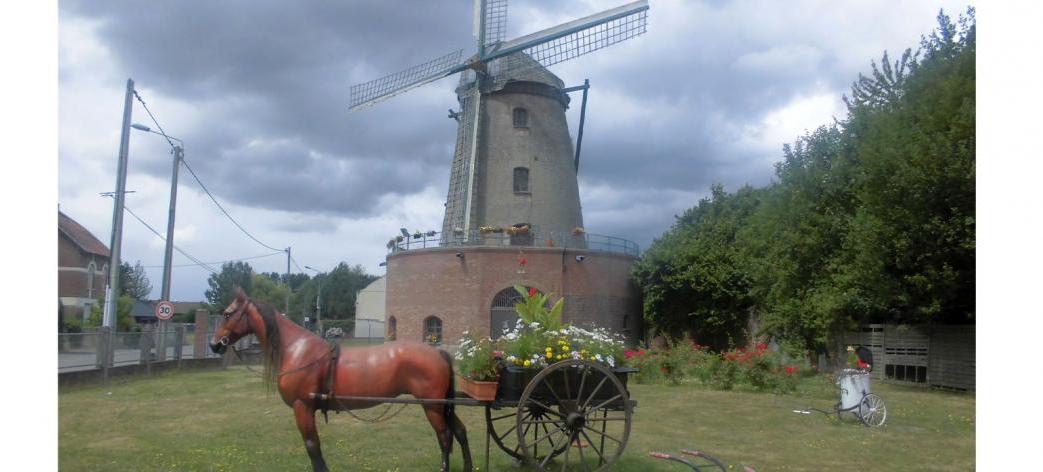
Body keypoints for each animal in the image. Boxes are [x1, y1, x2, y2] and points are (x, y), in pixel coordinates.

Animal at [209, 289, 471, 468]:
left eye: (227, 313)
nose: (214, 345)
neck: (297, 349)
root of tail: (438, 352)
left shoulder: (303, 407)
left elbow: (313, 448)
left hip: (432, 406)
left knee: (445, 437)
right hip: (442, 405)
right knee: (459, 431)